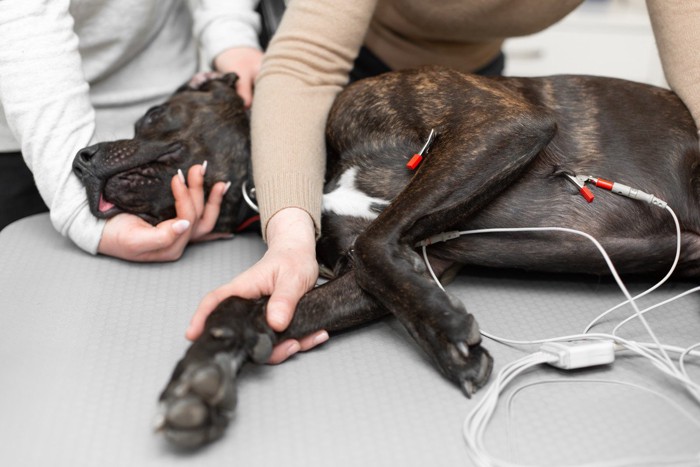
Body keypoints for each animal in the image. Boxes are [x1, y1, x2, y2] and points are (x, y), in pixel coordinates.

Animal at [72, 67, 700, 448]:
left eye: (152, 115)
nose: (79, 158)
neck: (314, 168)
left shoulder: (499, 124)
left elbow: (377, 244)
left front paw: (446, 332)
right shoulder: (396, 267)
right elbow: (246, 309)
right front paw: (198, 383)